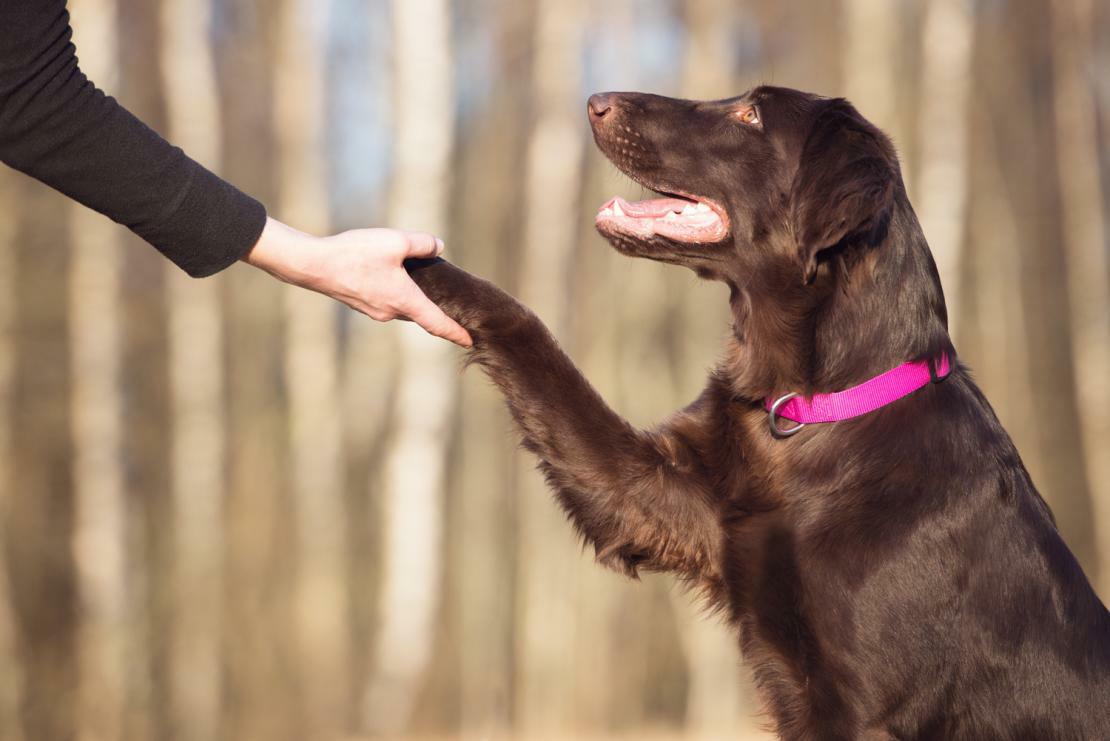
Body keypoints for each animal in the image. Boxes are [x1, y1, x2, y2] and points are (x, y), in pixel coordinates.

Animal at [406, 88, 1110, 741]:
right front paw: (417, 262)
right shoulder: (655, 496)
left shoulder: (868, 709)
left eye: (749, 116)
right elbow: (530, 336)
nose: (596, 101)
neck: (813, 408)